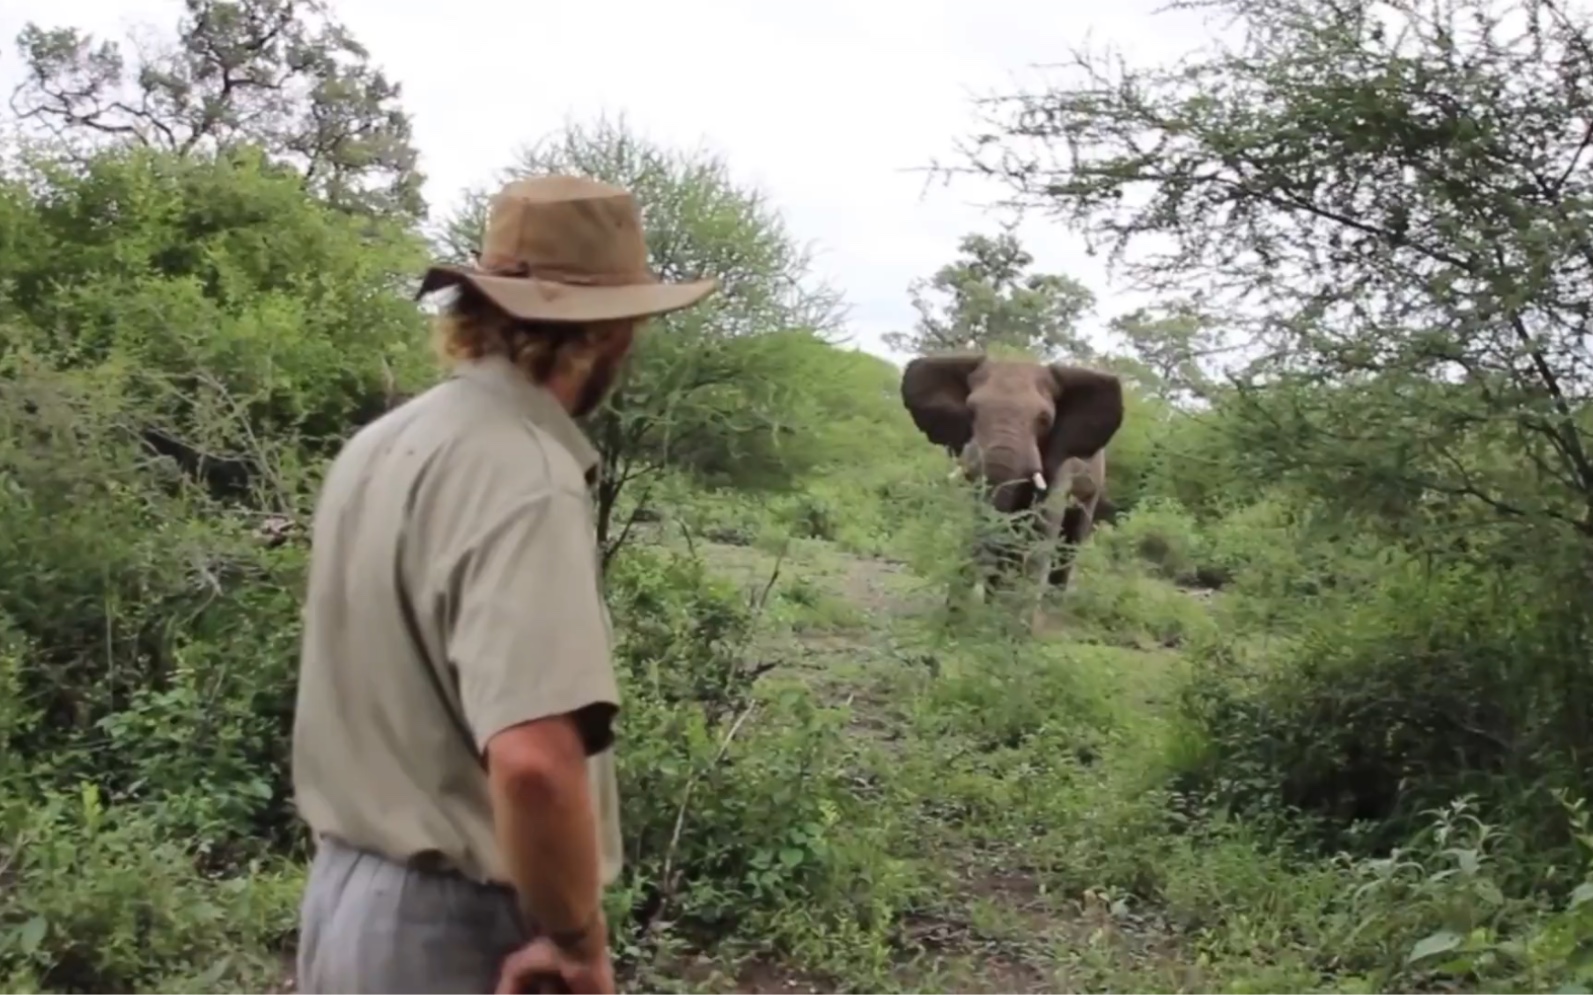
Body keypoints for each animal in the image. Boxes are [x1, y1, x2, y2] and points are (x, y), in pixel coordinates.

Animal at [904, 347, 1127, 614]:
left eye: (1044, 420)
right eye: (971, 412)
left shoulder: (1061, 462)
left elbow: (1042, 530)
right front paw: (957, 615)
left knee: (1072, 537)